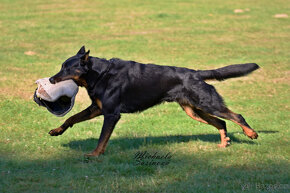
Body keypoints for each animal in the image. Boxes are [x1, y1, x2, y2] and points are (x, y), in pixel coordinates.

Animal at [48, 46, 260, 157]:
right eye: (61, 66)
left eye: (67, 68)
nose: (51, 79)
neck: (100, 74)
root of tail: (196, 73)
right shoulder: (97, 108)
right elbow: (72, 118)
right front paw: (57, 131)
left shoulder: (111, 114)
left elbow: (102, 138)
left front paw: (95, 155)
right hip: (194, 110)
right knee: (222, 122)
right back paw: (224, 143)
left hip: (208, 104)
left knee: (236, 116)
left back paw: (251, 133)